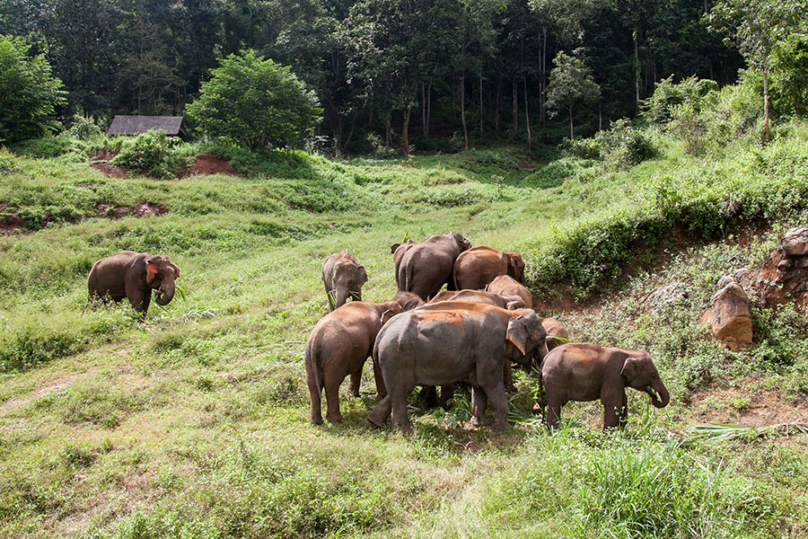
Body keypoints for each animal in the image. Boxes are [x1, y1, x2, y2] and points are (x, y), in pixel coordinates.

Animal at [368, 304, 548, 434]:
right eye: (542, 339)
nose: (540, 419)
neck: (509, 314)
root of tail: (382, 333)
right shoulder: (489, 346)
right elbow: (488, 381)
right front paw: (505, 430)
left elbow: (478, 383)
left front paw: (480, 424)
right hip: (398, 357)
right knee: (401, 391)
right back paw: (406, 431)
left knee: (397, 391)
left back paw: (375, 422)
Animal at [540, 346, 672, 430]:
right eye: (653, 375)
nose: (654, 398)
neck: (629, 353)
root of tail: (546, 357)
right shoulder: (612, 375)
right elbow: (612, 403)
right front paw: (609, 436)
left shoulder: (618, 380)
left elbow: (623, 401)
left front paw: (622, 432)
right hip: (555, 378)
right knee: (556, 405)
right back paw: (553, 431)